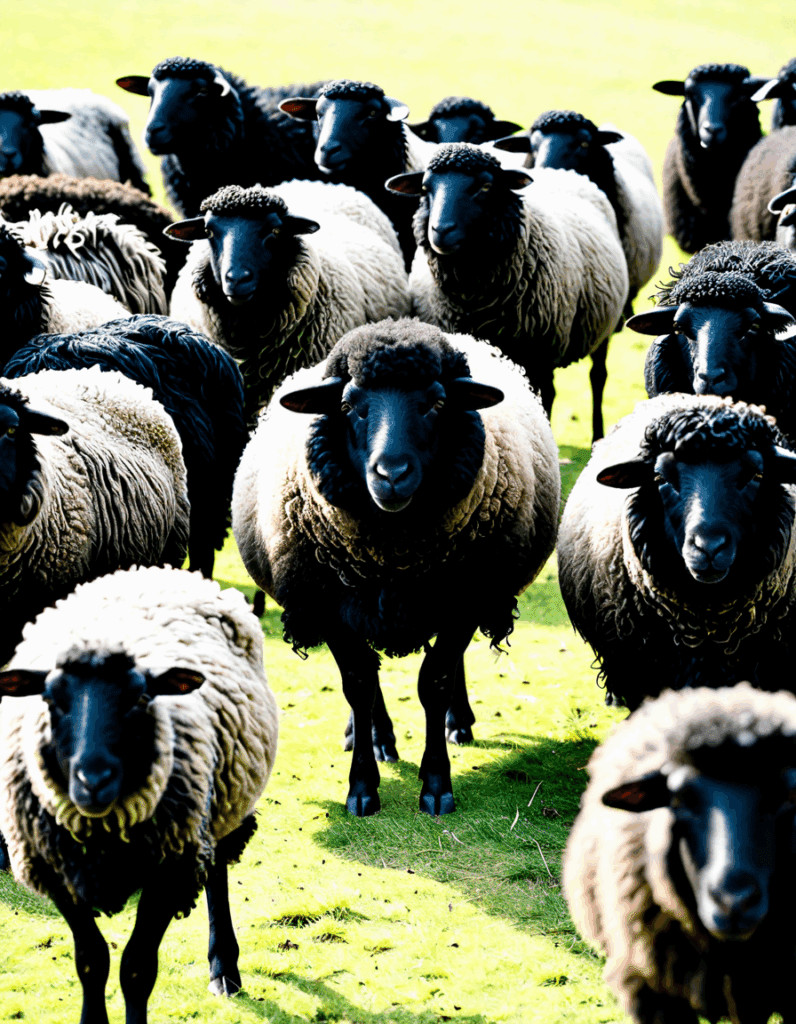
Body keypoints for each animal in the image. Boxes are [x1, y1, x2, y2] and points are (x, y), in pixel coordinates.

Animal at [0, 564, 278, 1016]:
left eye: (139, 698)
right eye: (51, 700)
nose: (93, 780)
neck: (102, 834)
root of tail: (160, 569)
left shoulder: (171, 867)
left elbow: (136, 967)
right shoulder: (55, 869)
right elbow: (91, 961)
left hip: (219, 802)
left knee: (216, 871)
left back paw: (224, 968)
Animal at [232, 318, 560, 815]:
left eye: (437, 403)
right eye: (348, 406)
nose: (391, 474)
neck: (394, 553)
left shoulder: (466, 598)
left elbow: (437, 678)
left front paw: (436, 784)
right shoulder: (328, 606)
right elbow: (359, 683)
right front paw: (362, 788)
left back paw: (457, 722)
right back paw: (373, 735)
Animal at [389, 143, 629, 441]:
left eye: (486, 186)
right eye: (425, 187)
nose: (441, 230)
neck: (474, 300)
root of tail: (561, 171)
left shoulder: (538, 353)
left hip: (600, 328)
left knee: (597, 377)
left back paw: (597, 434)